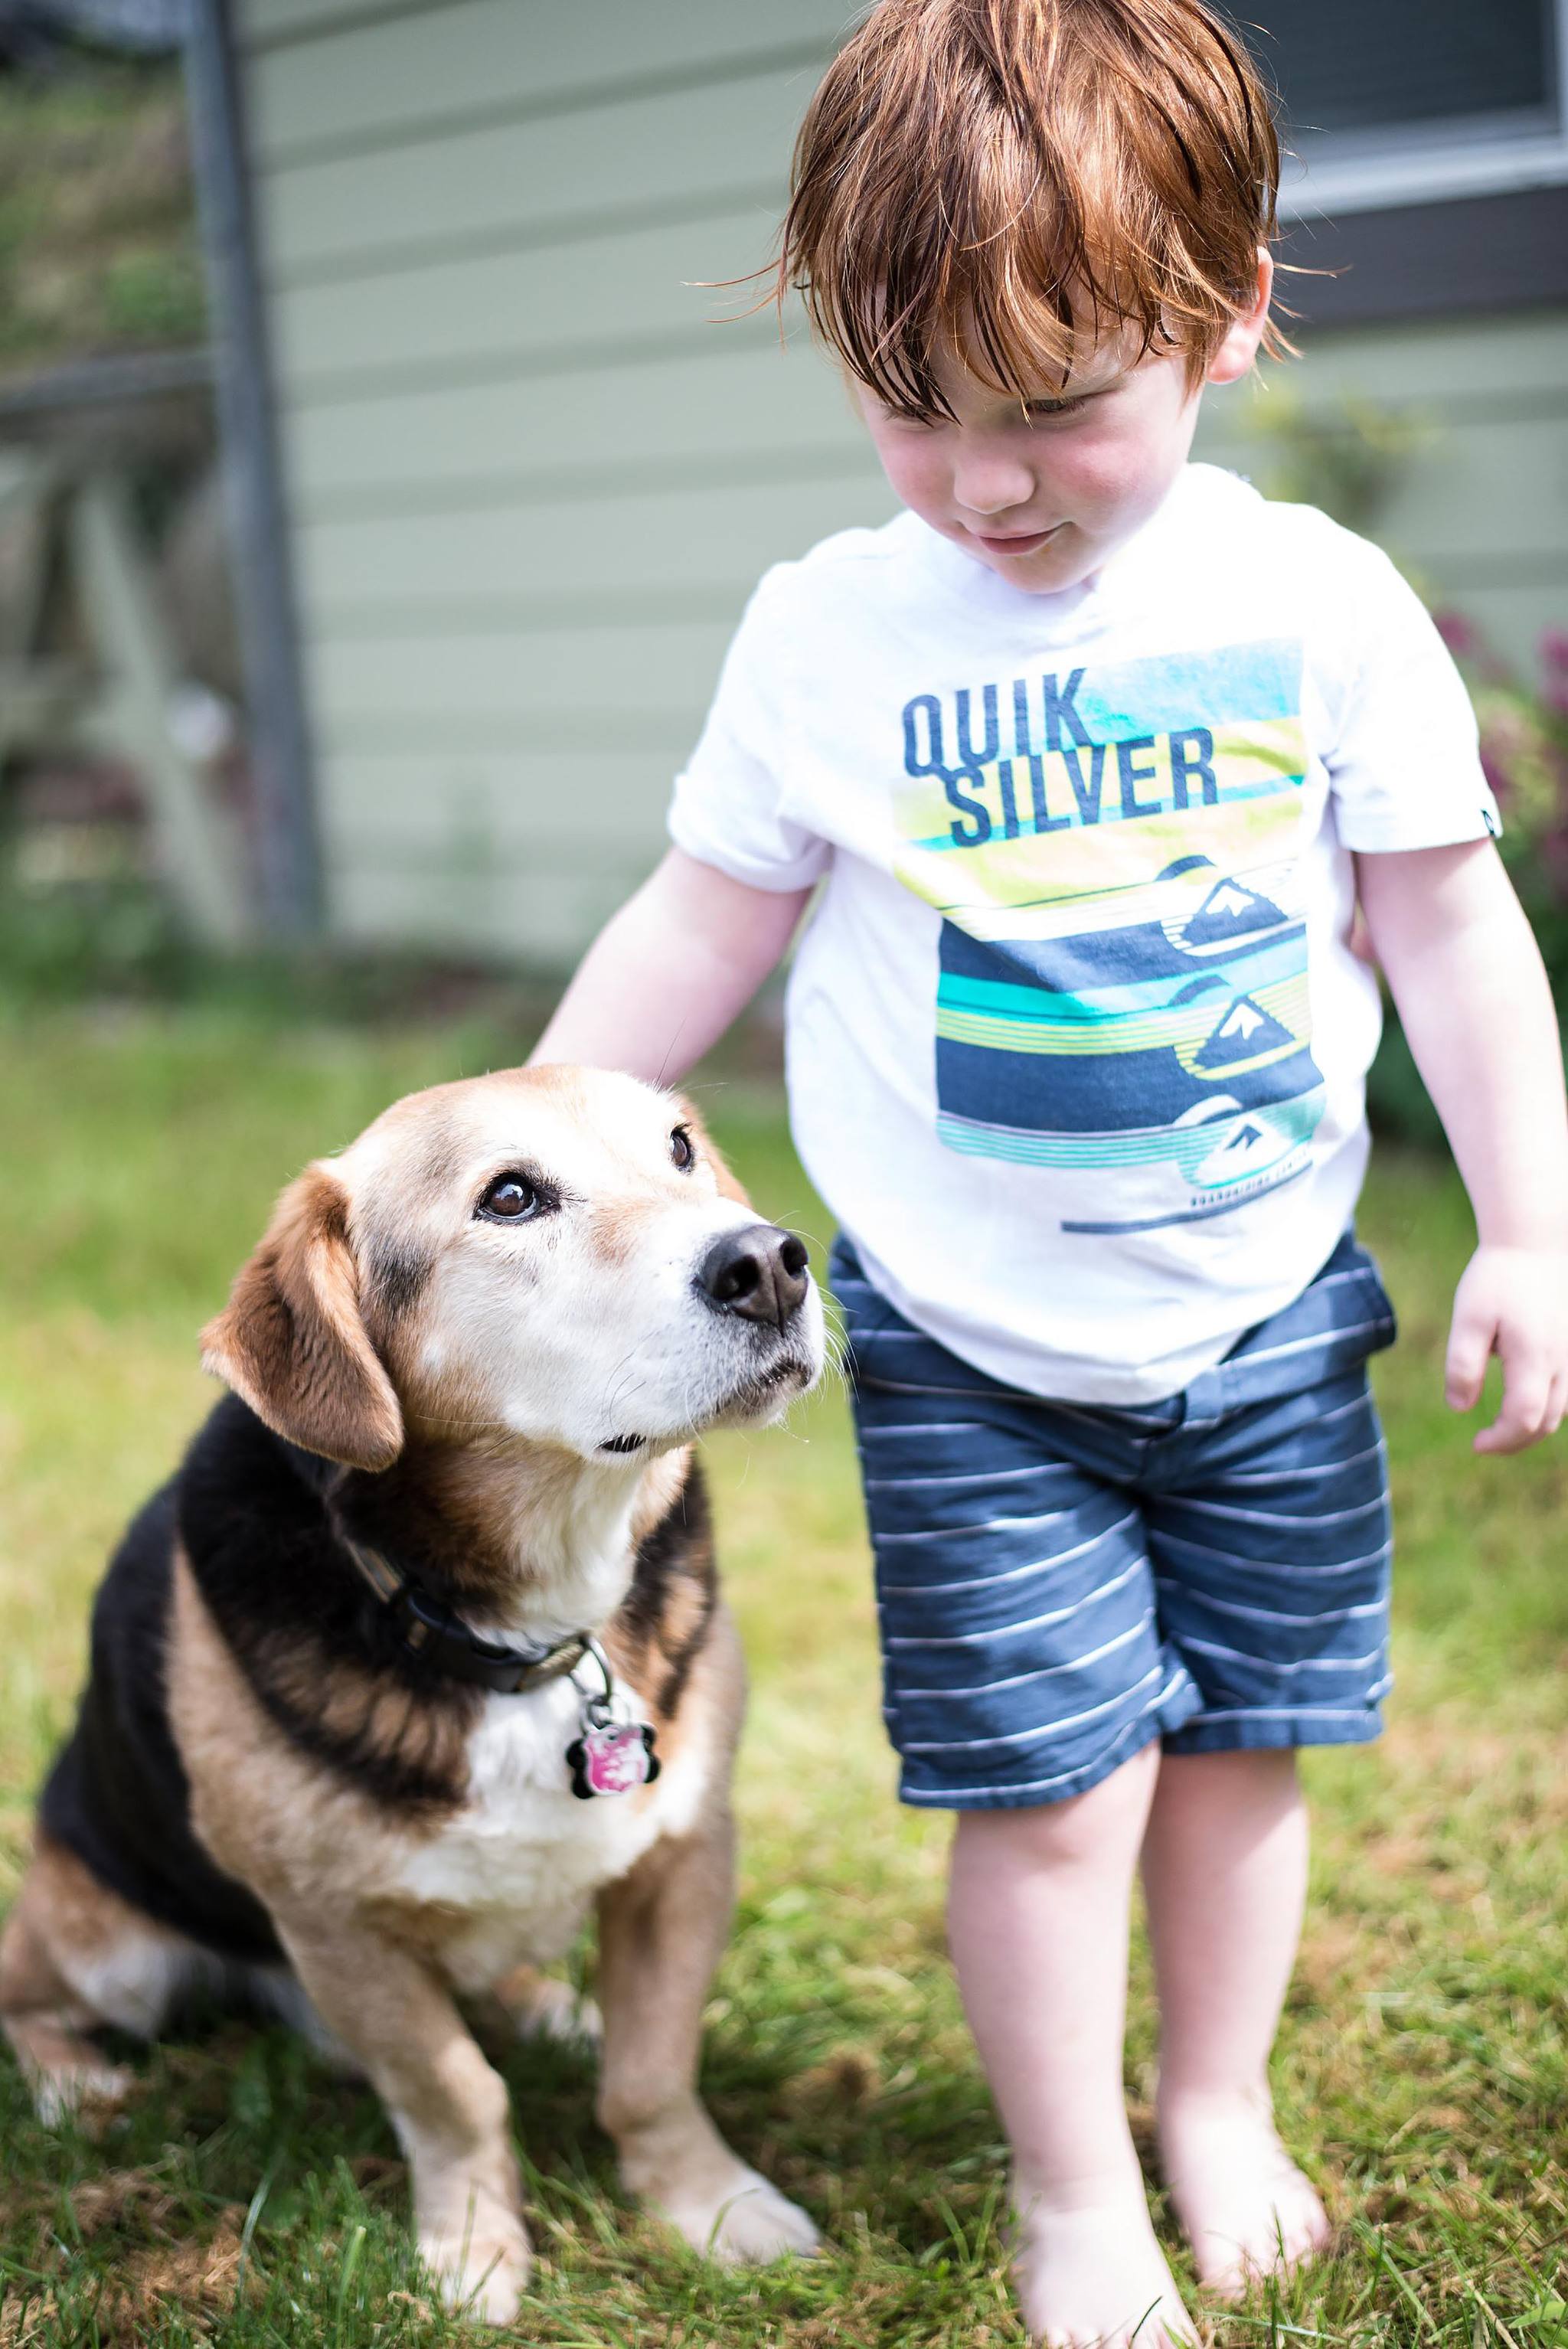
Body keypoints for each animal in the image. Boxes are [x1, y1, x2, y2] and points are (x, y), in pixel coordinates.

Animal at [0, 1076, 826, 2321]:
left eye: (680, 1149)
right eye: (511, 1197)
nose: (772, 1260)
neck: (520, 1633)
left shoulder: (684, 1855)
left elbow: (650, 2072)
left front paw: (710, 2206)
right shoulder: (339, 1926)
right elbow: (455, 2093)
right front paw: (474, 2250)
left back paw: (548, 2008)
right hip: (108, 1946)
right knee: (27, 1996)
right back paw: (76, 2088)